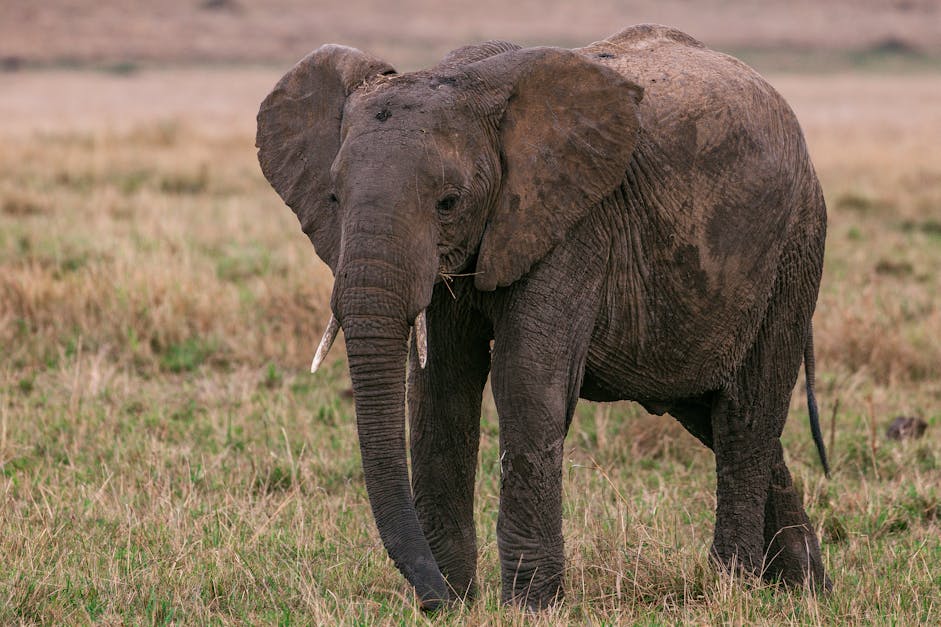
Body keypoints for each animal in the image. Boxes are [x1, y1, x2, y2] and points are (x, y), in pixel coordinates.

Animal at [255, 23, 828, 608]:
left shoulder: (574, 221)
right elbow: (441, 390)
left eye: (448, 202)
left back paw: (732, 585)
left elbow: (527, 381)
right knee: (712, 412)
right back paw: (804, 587)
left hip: (794, 251)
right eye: (332, 196)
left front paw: (528, 605)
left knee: (744, 415)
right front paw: (458, 600)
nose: (434, 597)